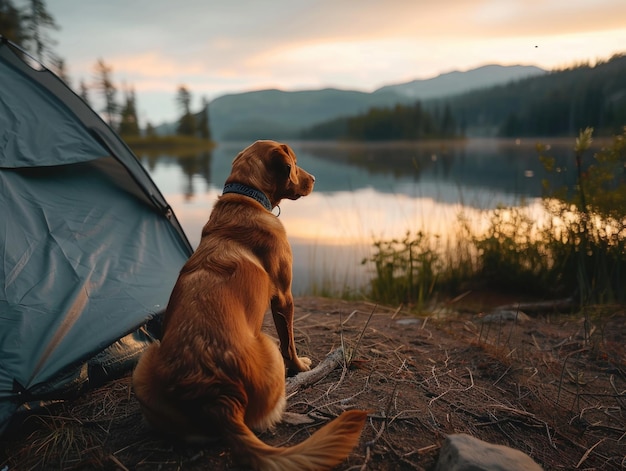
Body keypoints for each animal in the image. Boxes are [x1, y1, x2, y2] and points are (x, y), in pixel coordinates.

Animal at [132, 141, 366, 471]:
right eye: (295, 162)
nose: (315, 178)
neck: (246, 197)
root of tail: (218, 395)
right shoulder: (284, 296)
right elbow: (289, 343)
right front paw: (300, 366)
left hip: (144, 366)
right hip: (266, 344)